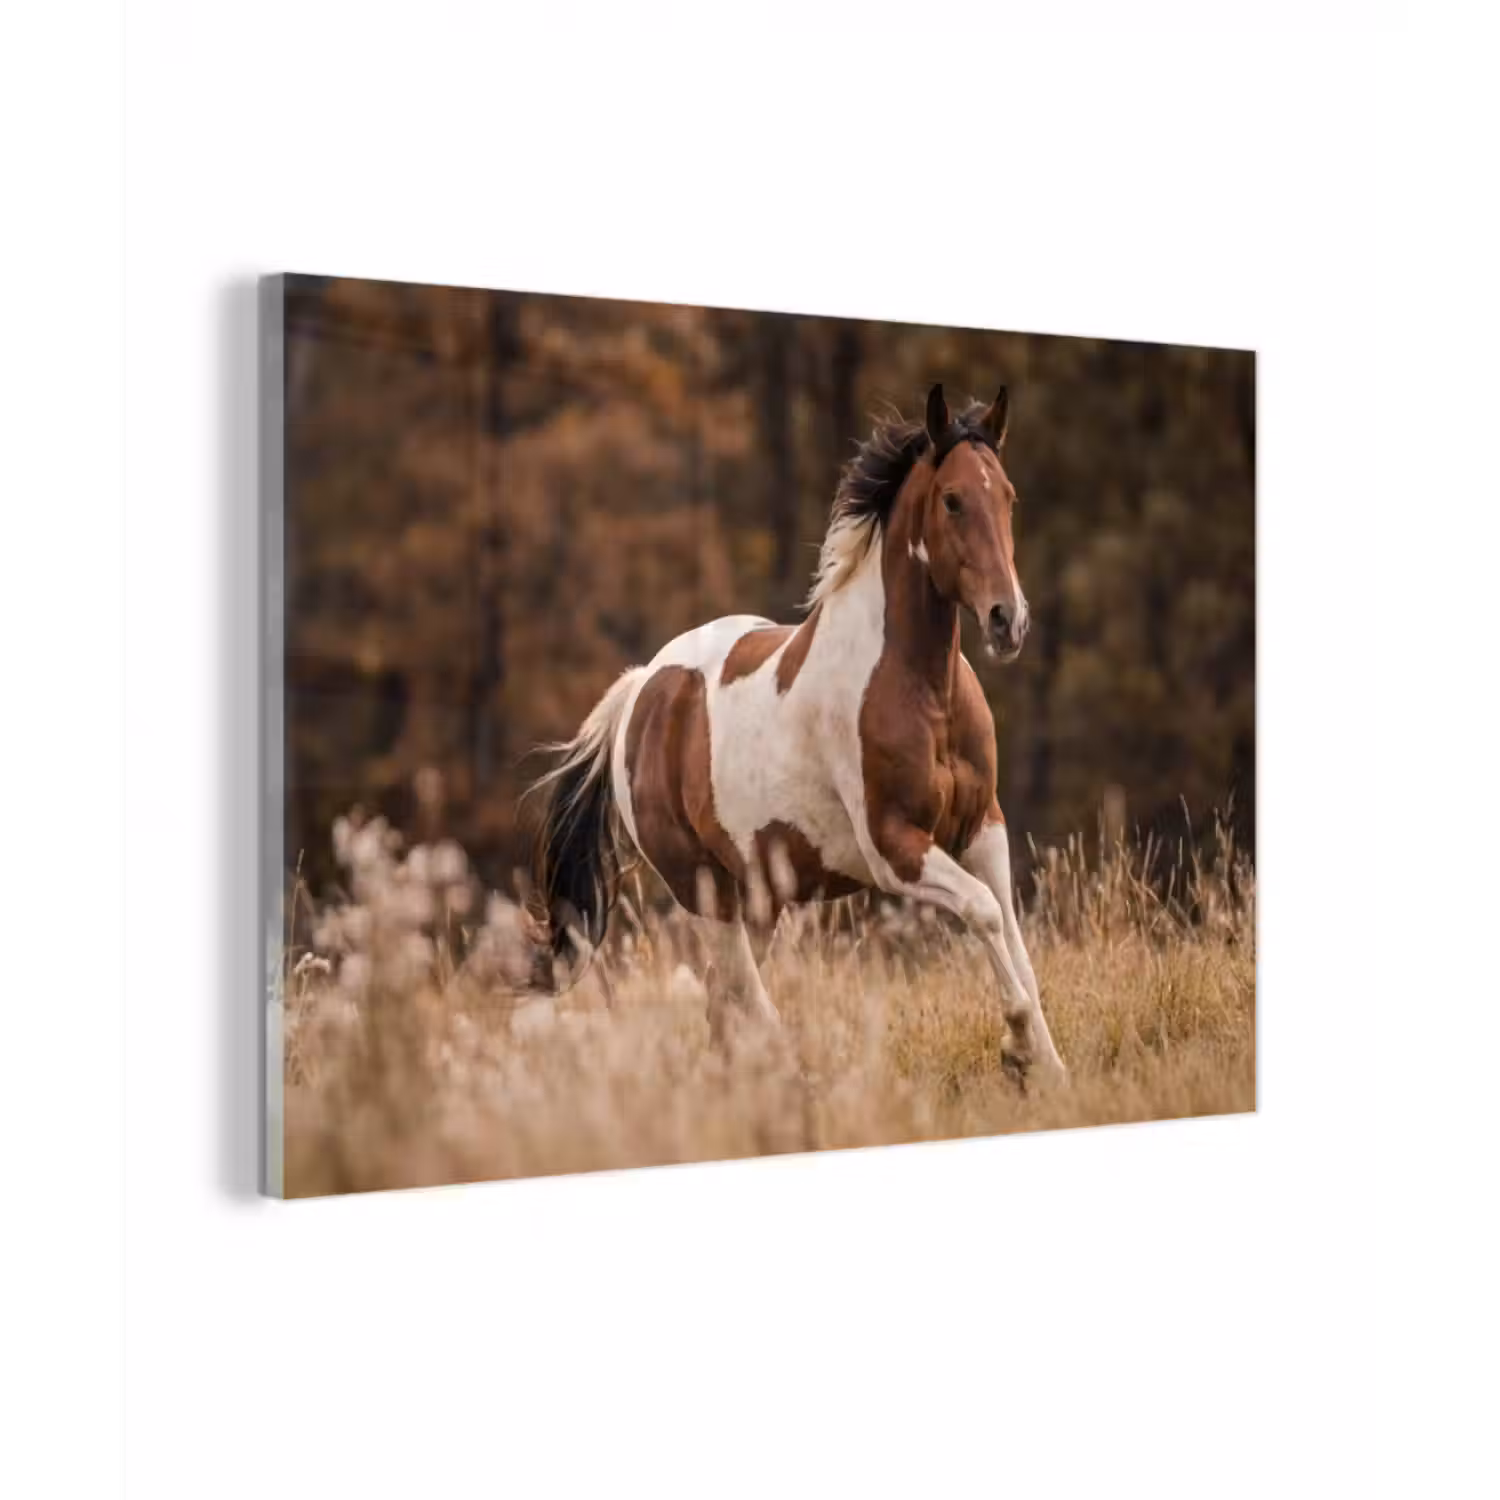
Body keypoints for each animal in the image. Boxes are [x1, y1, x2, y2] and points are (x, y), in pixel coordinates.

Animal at [524, 382, 1066, 1084]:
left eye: (1007, 496)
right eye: (952, 499)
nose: (1008, 620)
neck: (924, 692)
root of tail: (641, 688)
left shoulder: (982, 829)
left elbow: (1015, 938)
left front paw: (1049, 1068)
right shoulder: (895, 849)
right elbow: (983, 911)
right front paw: (1017, 1046)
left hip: (758, 896)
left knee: (722, 1002)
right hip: (705, 889)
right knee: (741, 996)